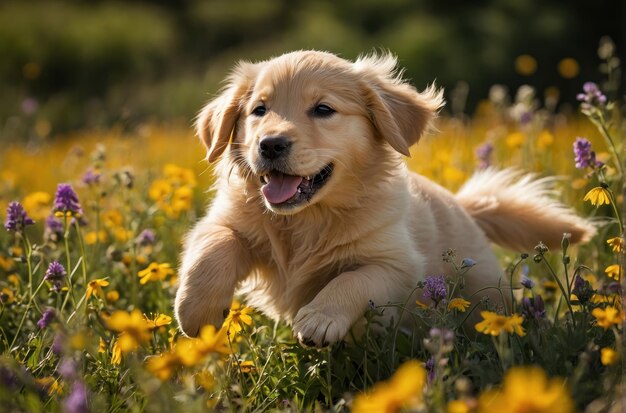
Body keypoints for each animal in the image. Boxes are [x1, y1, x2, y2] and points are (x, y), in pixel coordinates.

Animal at [173, 50, 592, 344]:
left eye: (323, 109)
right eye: (259, 109)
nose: (270, 144)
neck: (307, 218)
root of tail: (466, 208)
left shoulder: (397, 265)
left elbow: (354, 279)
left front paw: (321, 317)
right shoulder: (226, 222)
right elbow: (213, 247)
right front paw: (196, 311)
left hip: (484, 288)